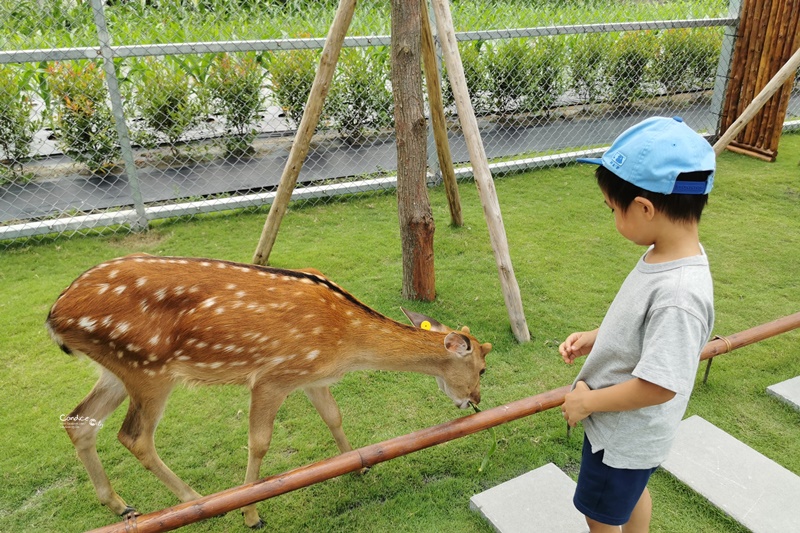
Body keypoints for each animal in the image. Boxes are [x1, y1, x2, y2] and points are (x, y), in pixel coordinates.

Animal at [47, 255, 490, 528]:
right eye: (484, 366)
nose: (476, 401)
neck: (346, 343)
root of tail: (54, 316)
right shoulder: (272, 377)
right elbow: (259, 442)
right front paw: (251, 514)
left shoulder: (311, 377)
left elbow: (334, 416)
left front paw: (360, 466)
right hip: (148, 370)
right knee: (134, 436)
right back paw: (199, 502)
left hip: (116, 369)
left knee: (78, 421)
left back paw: (122, 506)